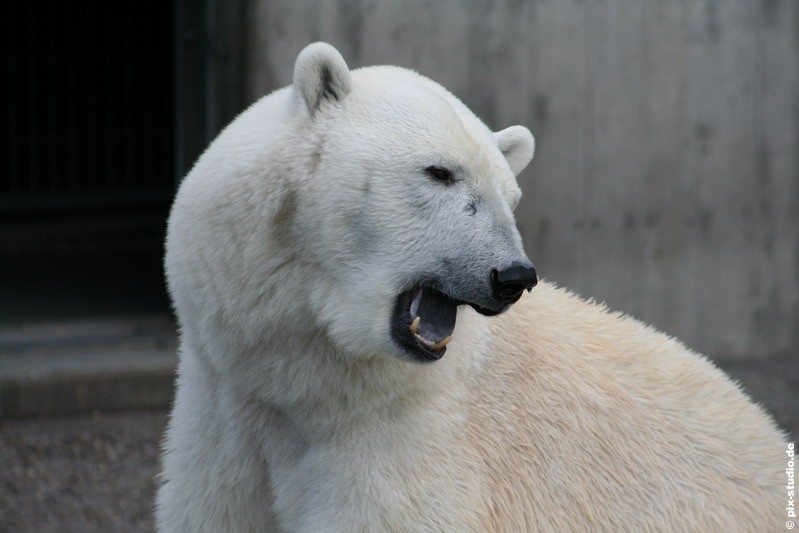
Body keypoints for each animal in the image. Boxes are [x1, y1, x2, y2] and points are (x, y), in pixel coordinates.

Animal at [156, 43, 788, 528]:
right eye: (439, 172)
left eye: (510, 196)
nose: (512, 276)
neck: (305, 387)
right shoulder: (226, 417)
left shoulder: (404, 444)